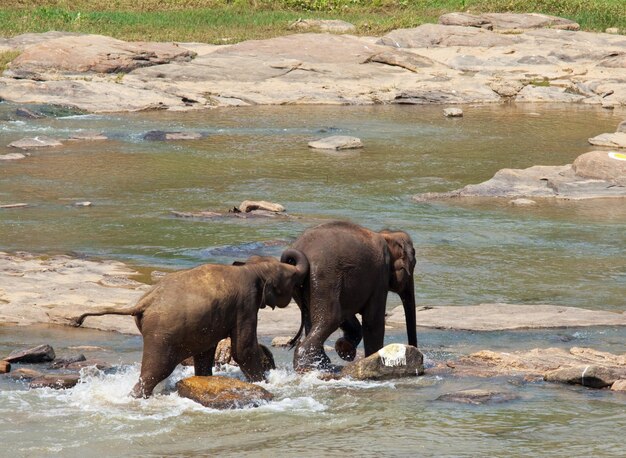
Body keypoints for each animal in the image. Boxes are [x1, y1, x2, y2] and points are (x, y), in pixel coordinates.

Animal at [69, 250, 308, 398]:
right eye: (292, 280)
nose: (291, 342)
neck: (252, 268)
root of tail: (143, 303)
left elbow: (205, 352)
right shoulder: (246, 305)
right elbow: (243, 350)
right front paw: (264, 383)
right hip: (162, 335)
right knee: (156, 371)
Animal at [280, 221, 416, 372]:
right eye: (413, 264)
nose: (414, 348)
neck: (387, 236)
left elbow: (348, 315)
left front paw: (344, 350)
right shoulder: (381, 275)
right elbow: (373, 321)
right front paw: (370, 358)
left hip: (302, 286)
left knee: (314, 318)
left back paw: (322, 363)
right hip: (324, 277)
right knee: (331, 318)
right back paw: (310, 366)